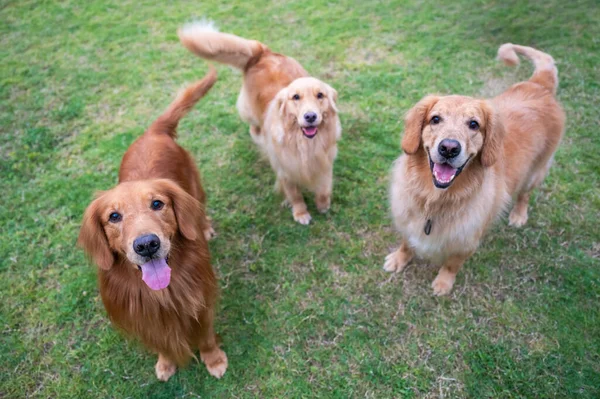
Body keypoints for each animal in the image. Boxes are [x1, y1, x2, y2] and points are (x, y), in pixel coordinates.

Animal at [78, 68, 229, 382]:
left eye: (158, 204)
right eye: (113, 216)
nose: (147, 244)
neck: (162, 295)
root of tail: (153, 132)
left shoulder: (202, 299)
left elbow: (206, 336)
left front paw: (214, 360)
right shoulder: (145, 319)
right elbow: (161, 344)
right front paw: (166, 363)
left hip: (196, 188)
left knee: (200, 210)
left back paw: (205, 227)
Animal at [178, 21, 340, 225]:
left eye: (320, 95)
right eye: (295, 97)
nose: (310, 116)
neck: (303, 144)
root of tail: (263, 52)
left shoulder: (325, 162)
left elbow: (324, 187)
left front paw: (323, 205)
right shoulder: (284, 169)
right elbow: (295, 195)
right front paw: (300, 213)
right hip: (249, 111)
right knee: (253, 127)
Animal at [386, 44, 564, 296]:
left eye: (473, 124)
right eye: (435, 119)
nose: (449, 148)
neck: (435, 199)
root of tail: (539, 85)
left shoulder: (467, 239)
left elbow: (452, 264)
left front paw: (443, 283)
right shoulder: (407, 219)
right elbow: (406, 242)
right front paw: (399, 259)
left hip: (536, 170)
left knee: (525, 194)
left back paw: (519, 215)